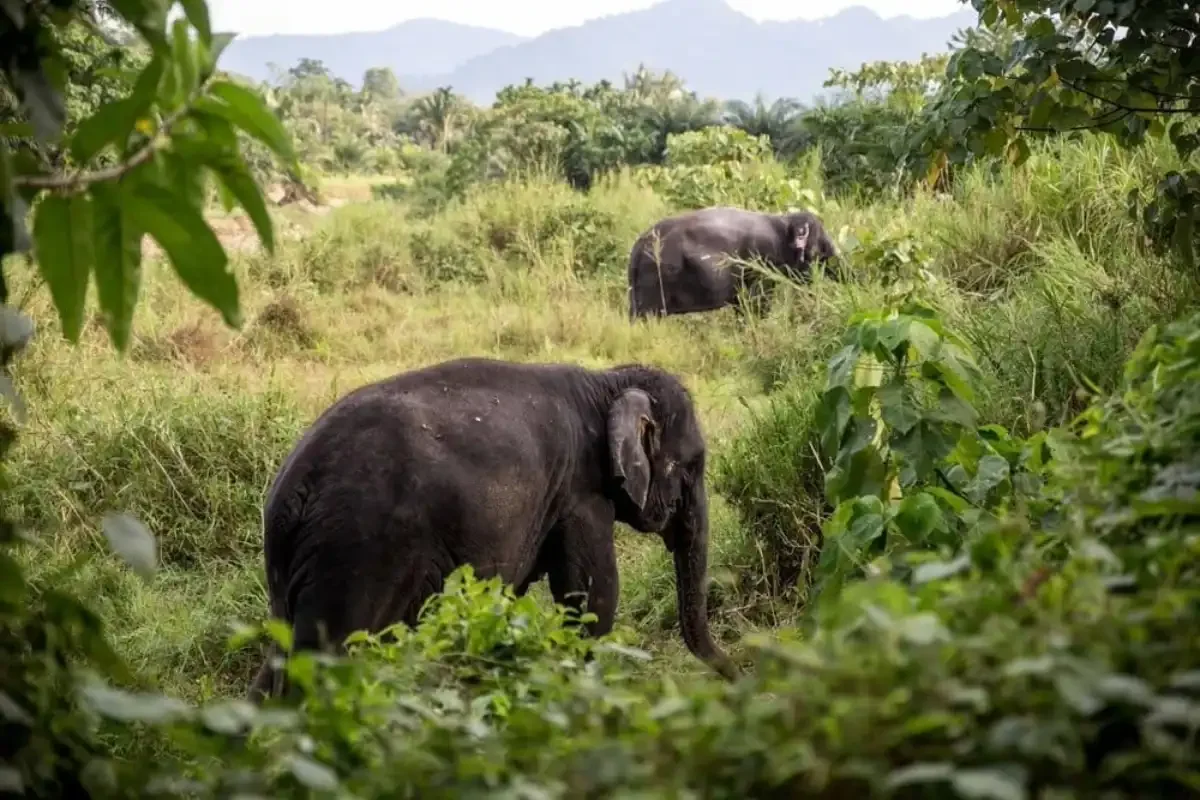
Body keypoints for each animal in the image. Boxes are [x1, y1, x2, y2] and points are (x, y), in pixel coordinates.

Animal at [247, 356, 738, 702]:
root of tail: (295, 488)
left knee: (279, 657)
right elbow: (592, 603)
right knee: (326, 657)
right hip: (358, 548)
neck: (606, 384)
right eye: (693, 465)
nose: (739, 675)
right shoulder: (580, 494)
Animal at [627, 206, 840, 319]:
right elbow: (757, 303)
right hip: (656, 276)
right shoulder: (760, 260)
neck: (782, 219)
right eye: (821, 247)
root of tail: (638, 247)